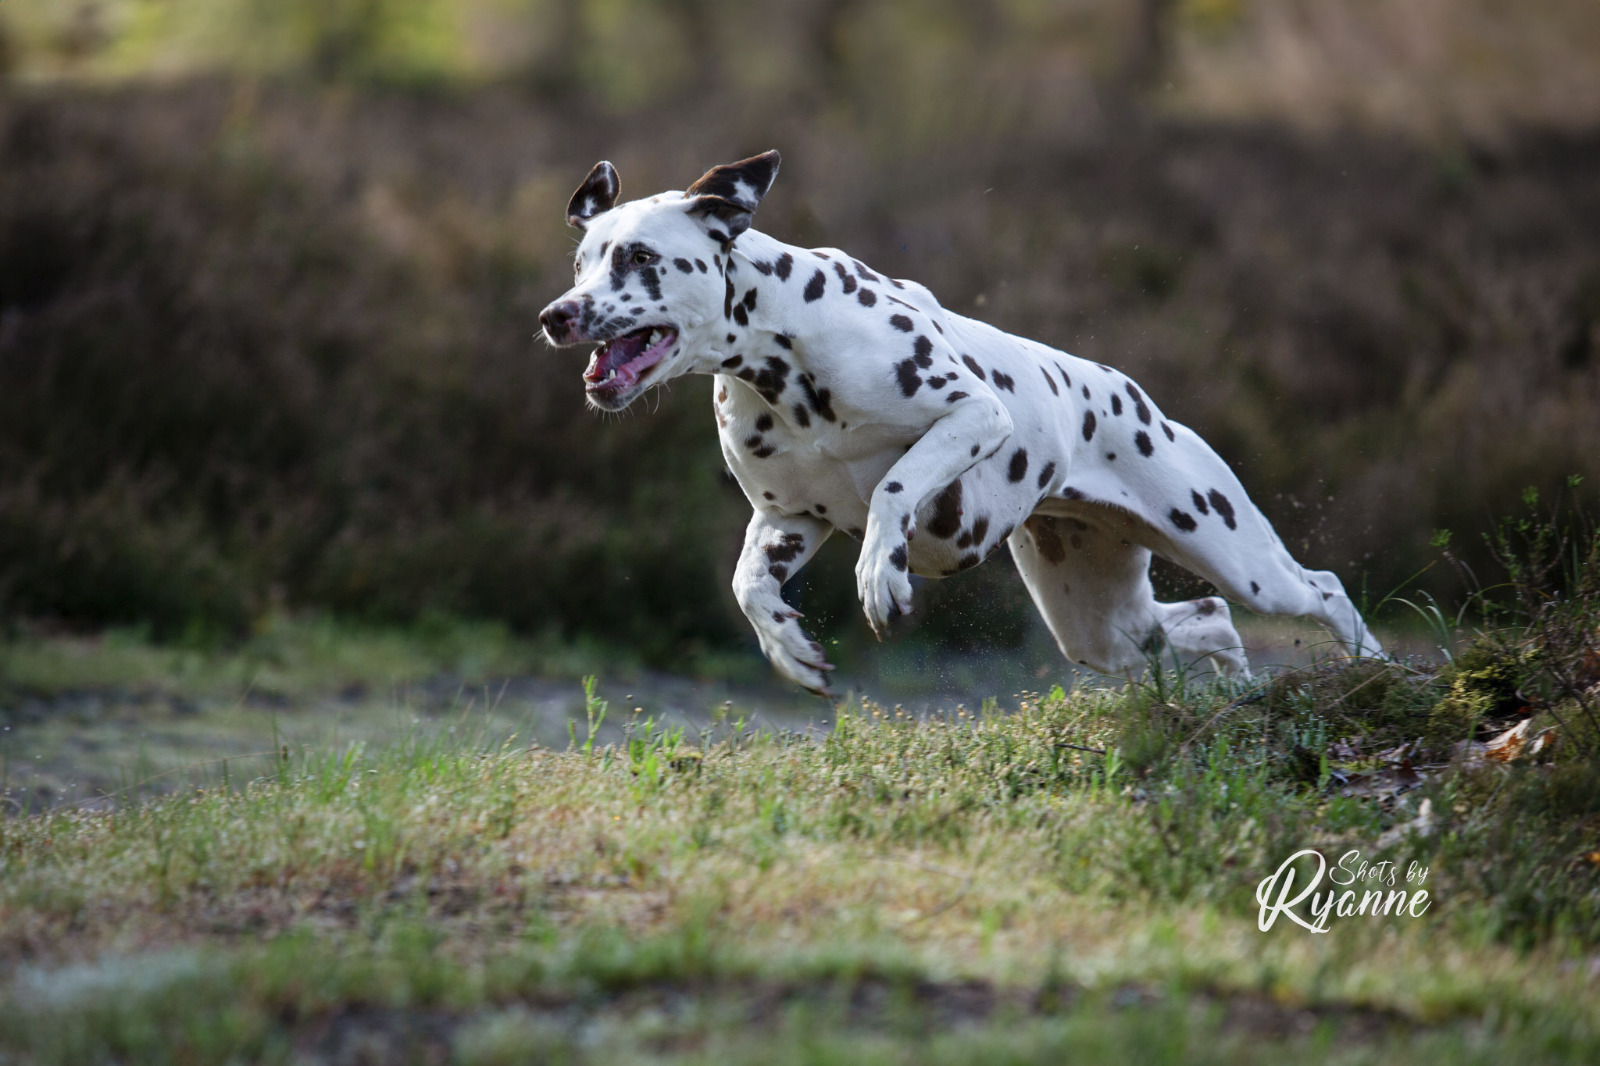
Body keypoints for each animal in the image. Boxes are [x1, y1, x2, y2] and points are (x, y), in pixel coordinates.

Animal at [540, 153, 1388, 694]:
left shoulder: (975, 413)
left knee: (1321, 589)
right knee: (1207, 619)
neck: (782, 355)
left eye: (639, 256)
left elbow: (894, 484)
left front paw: (880, 573)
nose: (556, 315)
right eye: (582, 262)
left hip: (1237, 555)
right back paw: (1236, 690)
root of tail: (1134, 395)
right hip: (1098, 627)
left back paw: (1377, 670)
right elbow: (747, 584)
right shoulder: (788, 519)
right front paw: (788, 647)